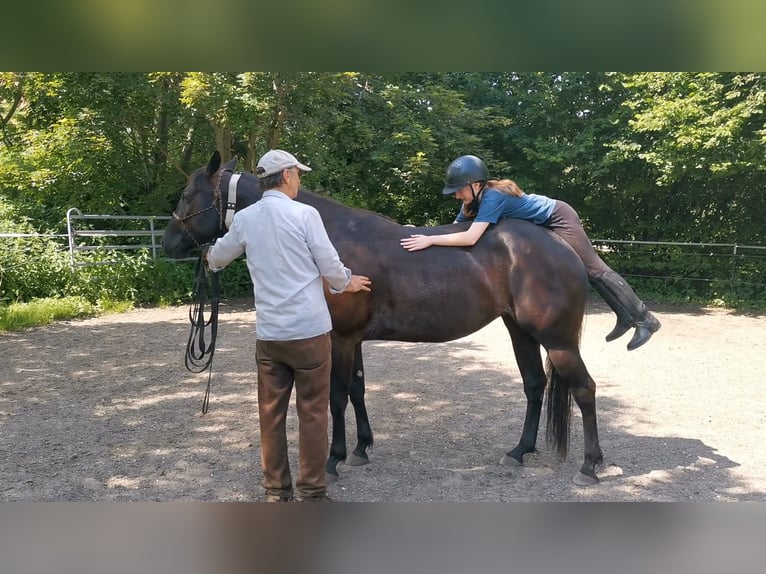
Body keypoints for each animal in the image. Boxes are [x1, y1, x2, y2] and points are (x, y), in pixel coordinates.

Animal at [164, 152, 608, 486]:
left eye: (186, 195)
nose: (168, 244)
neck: (333, 237)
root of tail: (560, 247)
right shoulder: (354, 339)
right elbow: (358, 390)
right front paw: (362, 448)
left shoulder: (341, 339)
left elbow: (337, 396)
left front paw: (334, 459)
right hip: (521, 332)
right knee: (534, 386)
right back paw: (519, 452)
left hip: (557, 340)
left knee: (584, 389)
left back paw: (589, 466)